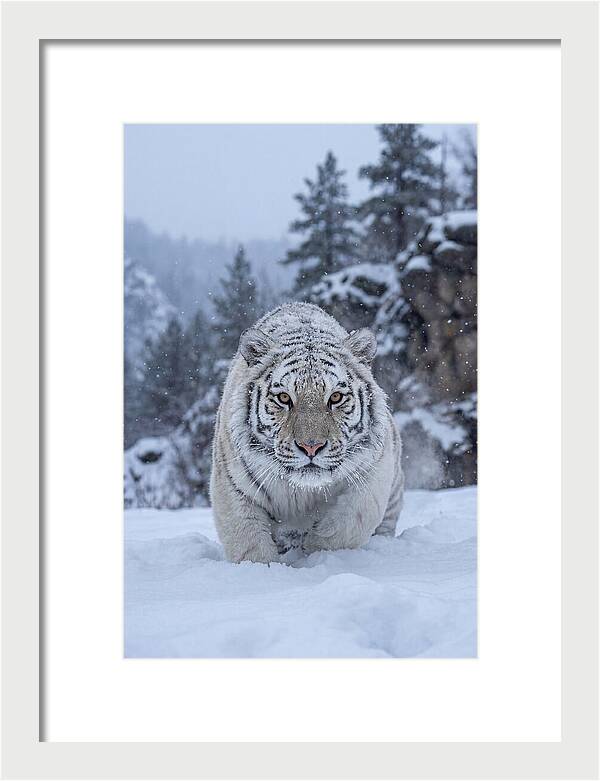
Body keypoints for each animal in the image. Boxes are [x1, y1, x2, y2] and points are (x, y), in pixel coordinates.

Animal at [210, 302, 404, 564]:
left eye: (336, 397)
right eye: (284, 398)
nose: (311, 446)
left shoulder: (372, 474)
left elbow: (345, 526)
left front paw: (315, 553)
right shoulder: (233, 487)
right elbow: (249, 544)